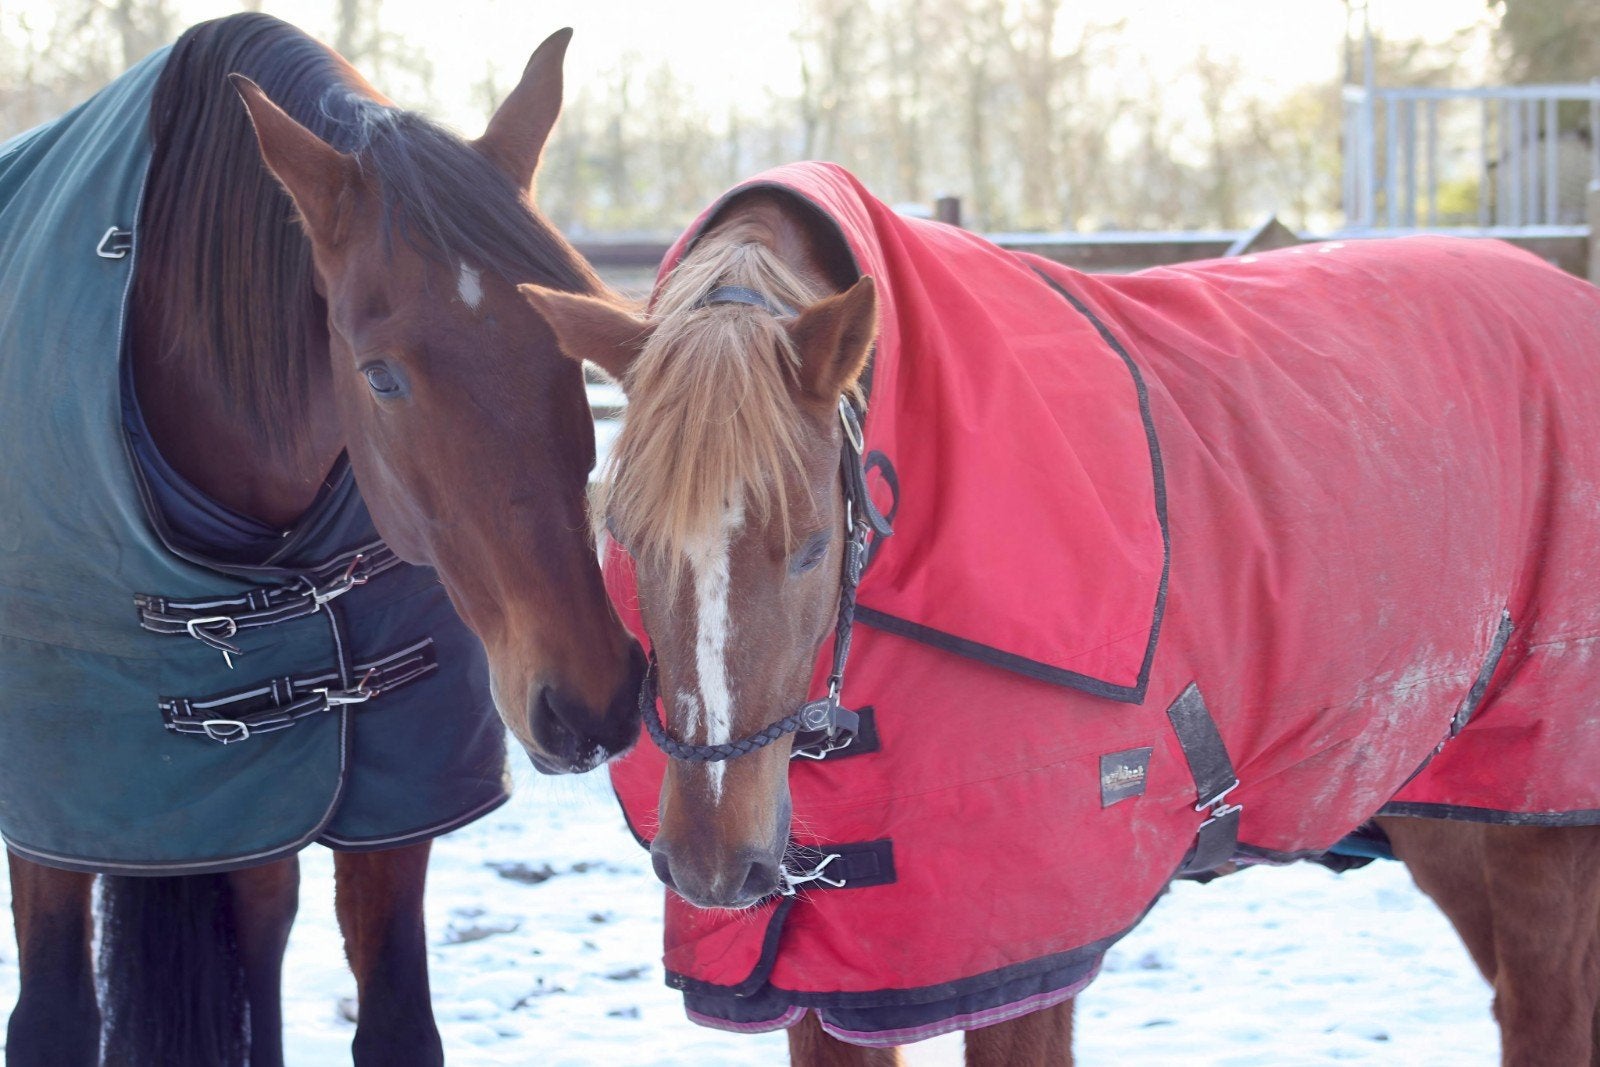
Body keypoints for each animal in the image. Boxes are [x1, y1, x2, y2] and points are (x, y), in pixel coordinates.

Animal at [0, 14, 643, 1066]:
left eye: (577, 348)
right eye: (379, 375)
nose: (594, 695)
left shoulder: (391, 796)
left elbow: (395, 1021)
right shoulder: (63, 811)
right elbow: (50, 1019)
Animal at [526, 160, 1600, 1066]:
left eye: (813, 545)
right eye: (626, 533)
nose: (715, 869)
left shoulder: (1024, 957)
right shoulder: (827, 979)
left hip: (1542, 825)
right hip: (1442, 812)